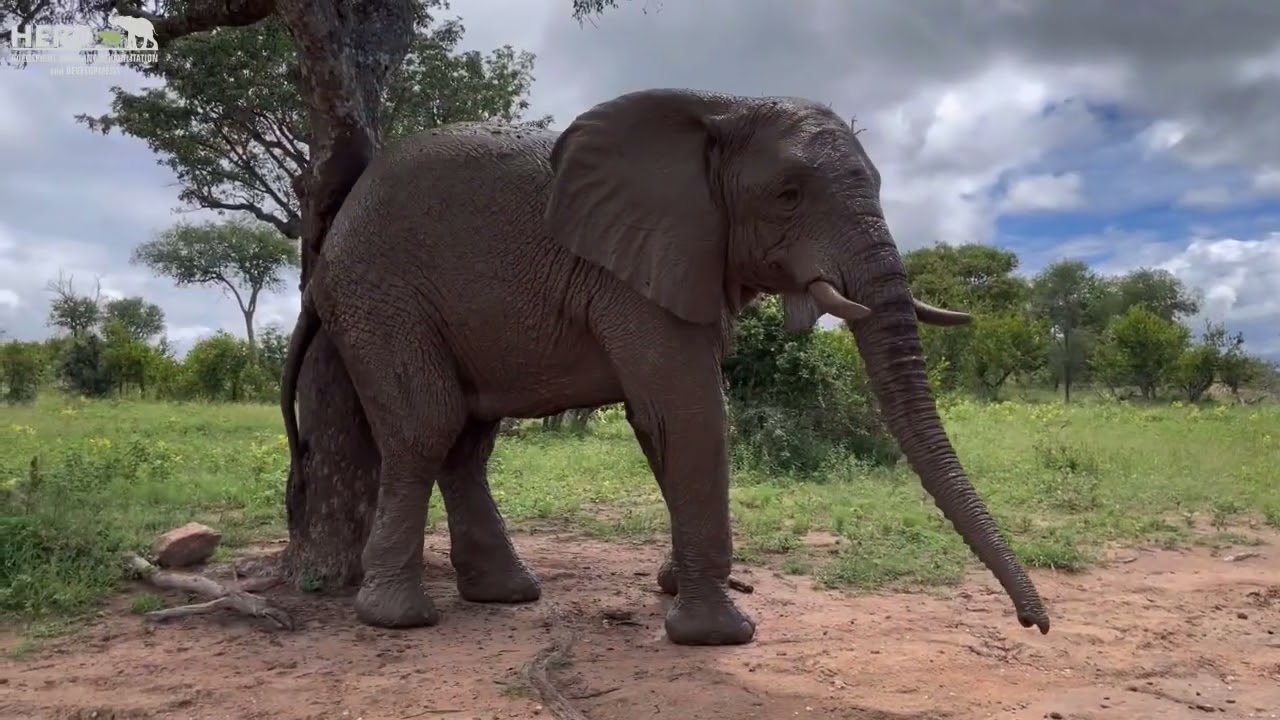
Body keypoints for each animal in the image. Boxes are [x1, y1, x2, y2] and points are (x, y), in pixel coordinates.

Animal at [280, 87, 1051, 647]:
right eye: (788, 196)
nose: (1034, 624)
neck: (722, 107)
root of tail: (330, 239)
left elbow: (663, 423)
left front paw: (675, 589)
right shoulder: (629, 270)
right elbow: (688, 410)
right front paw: (718, 635)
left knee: (467, 441)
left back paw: (507, 595)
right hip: (381, 296)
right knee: (427, 426)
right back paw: (399, 619)